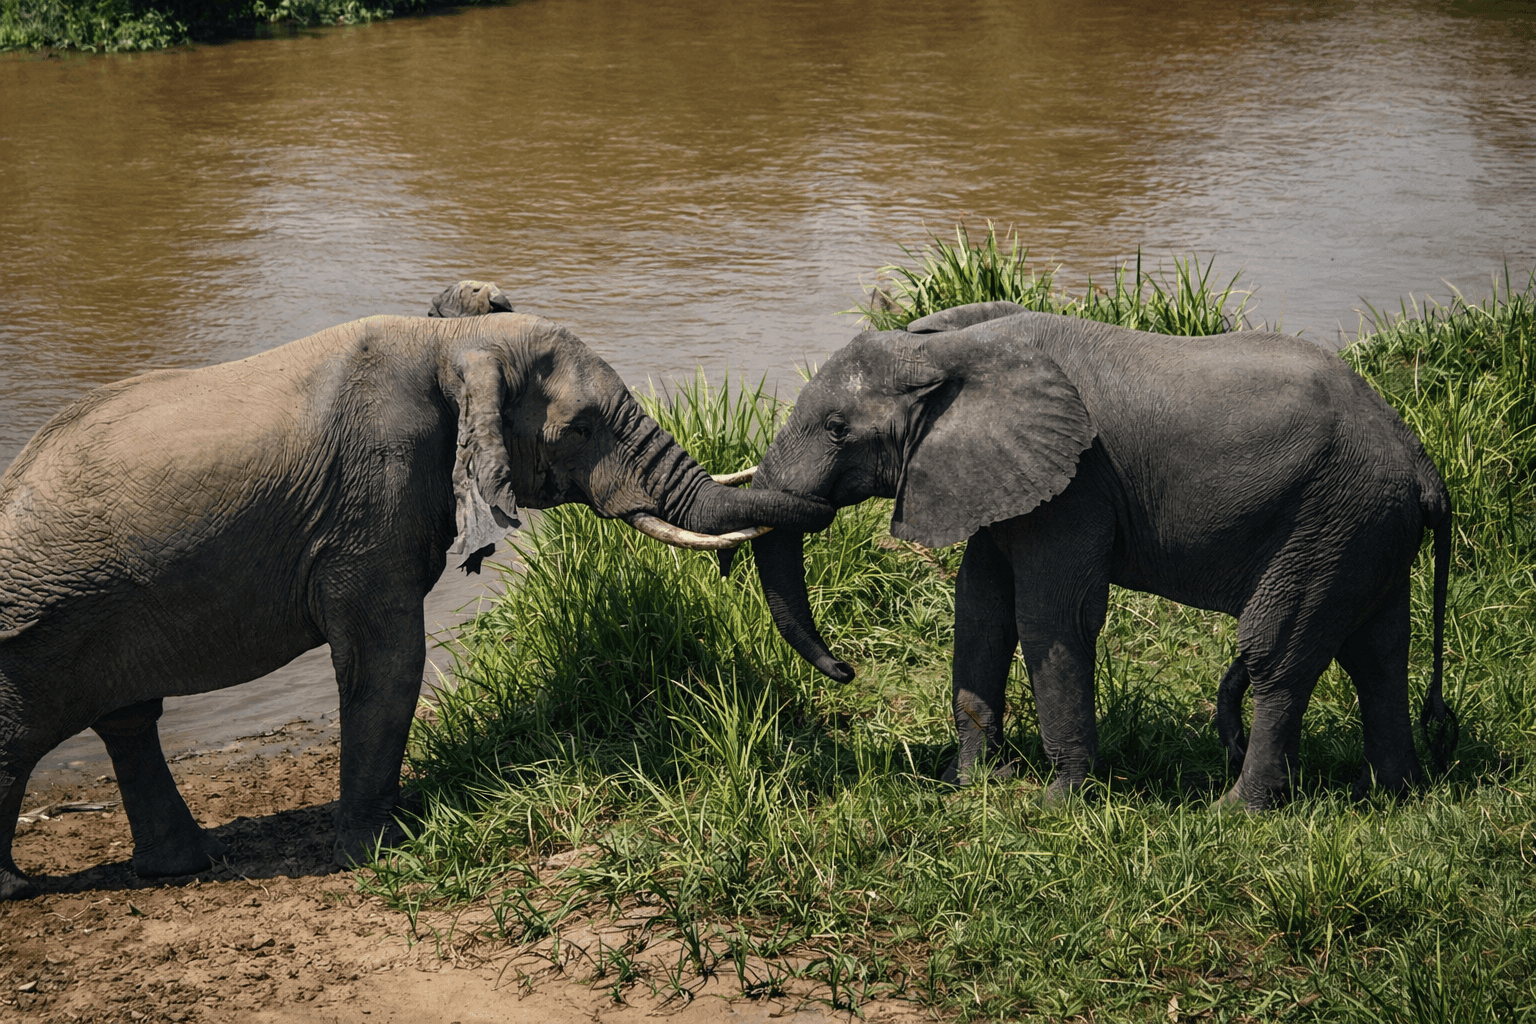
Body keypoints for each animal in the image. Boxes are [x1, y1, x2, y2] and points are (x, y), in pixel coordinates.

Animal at [0, 310, 831, 899]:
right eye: (580, 429)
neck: (453, 341)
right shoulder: (375, 492)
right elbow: (390, 659)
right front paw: (380, 853)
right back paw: (24, 889)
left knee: (128, 719)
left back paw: (188, 867)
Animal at [747, 301, 1454, 810]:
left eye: (838, 429)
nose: (845, 670)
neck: (945, 347)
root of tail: (1423, 464)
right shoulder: (1003, 478)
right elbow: (980, 611)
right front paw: (968, 788)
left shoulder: (1077, 482)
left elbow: (1050, 619)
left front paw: (1056, 805)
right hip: (1363, 529)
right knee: (1378, 653)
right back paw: (1392, 797)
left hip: (1333, 517)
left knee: (1276, 654)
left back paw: (1237, 811)